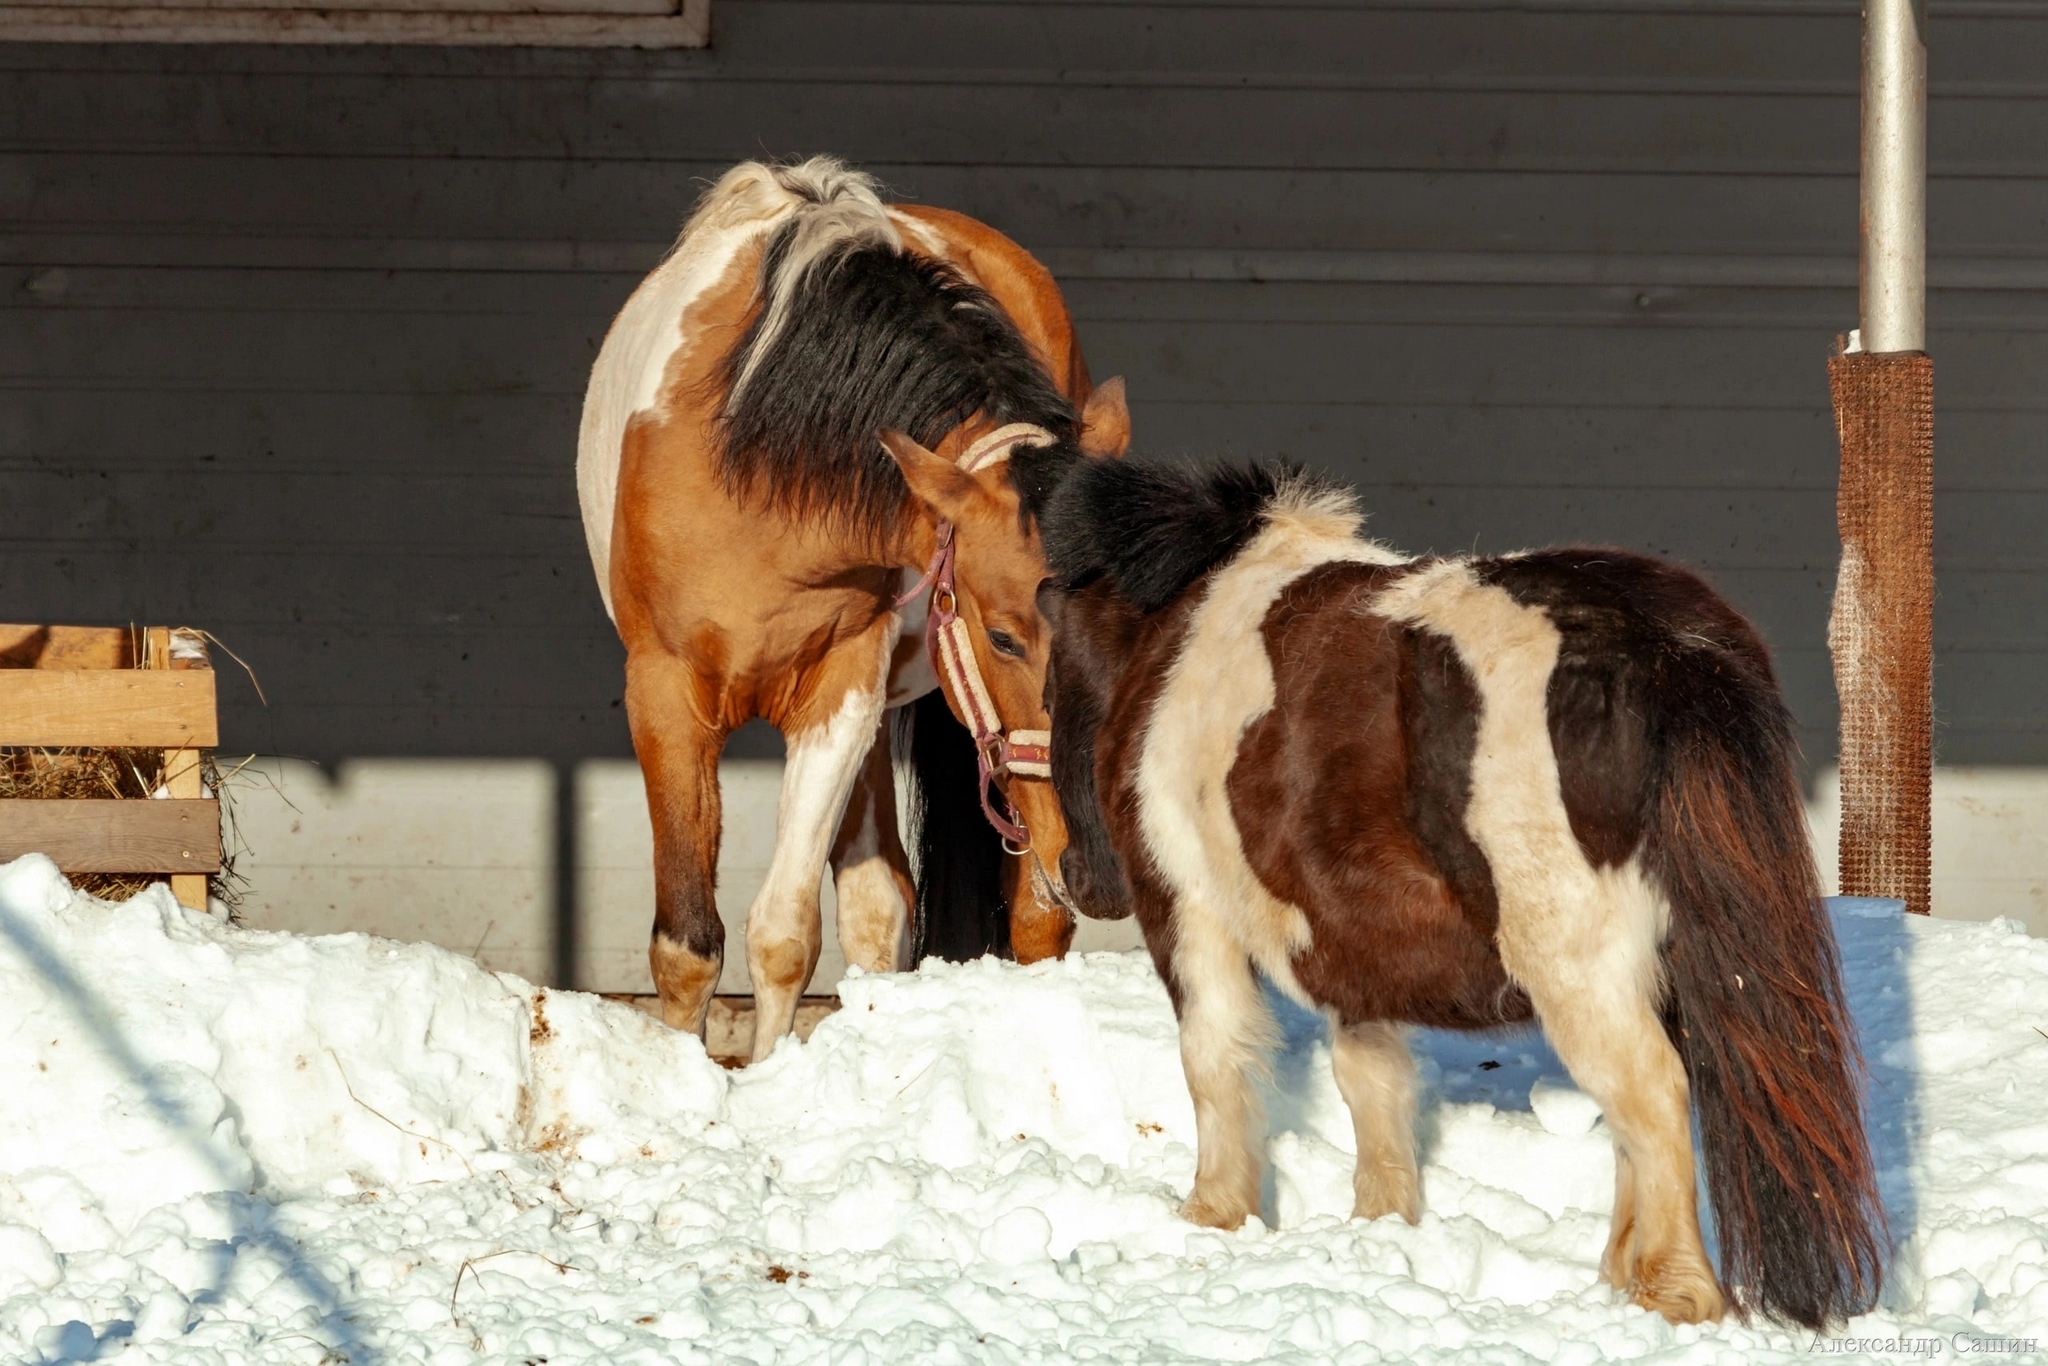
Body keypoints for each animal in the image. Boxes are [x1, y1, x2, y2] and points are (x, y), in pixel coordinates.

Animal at [581, 154, 1138, 1064]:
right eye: (1002, 638)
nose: (1102, 869)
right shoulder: (663, 695)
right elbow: (688, 947)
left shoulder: (841, 688)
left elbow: (783, 933)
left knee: (1002, 919)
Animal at [1024, 458, 1884, 1335]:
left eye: (1051, 694)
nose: (1076, 881)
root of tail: (1667, 652)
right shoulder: (1353, 947)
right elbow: (1370, 1080)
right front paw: (1379, 1223)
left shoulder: (1189, 915)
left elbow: (1215, 1057)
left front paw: (1212, 1218)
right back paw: (1623, 1273)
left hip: (1579, 970)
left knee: (1651, 1091)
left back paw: (1672, 1291)